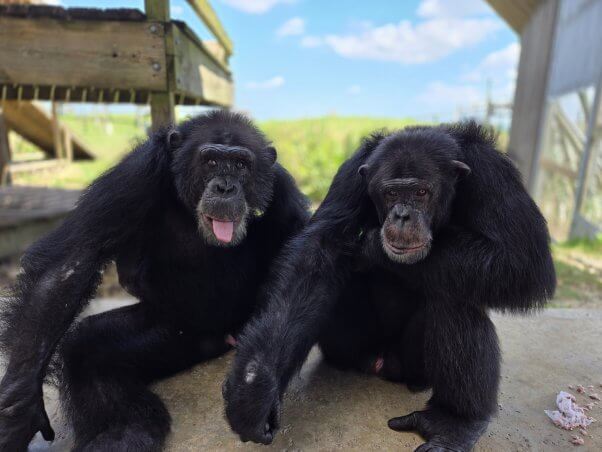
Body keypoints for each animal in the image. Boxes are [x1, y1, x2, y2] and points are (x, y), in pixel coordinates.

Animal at [0, 110, 308, 452]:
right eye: (211, 161)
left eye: (241, 165)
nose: (226, 187)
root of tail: (217, 339)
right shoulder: (137, 172)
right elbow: (69, 263)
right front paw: (20, 407)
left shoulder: (282, 188)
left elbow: (300, 263)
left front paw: (257, 387)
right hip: (172, 331)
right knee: (86, 347)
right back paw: (121, 434)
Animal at [221, 122, 552, 450]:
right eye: (392, 193)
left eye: (421, 192)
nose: (402, 215)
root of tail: (385, 365)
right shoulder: (352, 172)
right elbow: (319, 250)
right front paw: (255, 387)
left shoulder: (493, 173)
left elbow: (521, 260)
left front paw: (371, 246)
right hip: (351, 347)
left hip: (416, 366)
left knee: (455, 298)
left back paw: (454, 421)